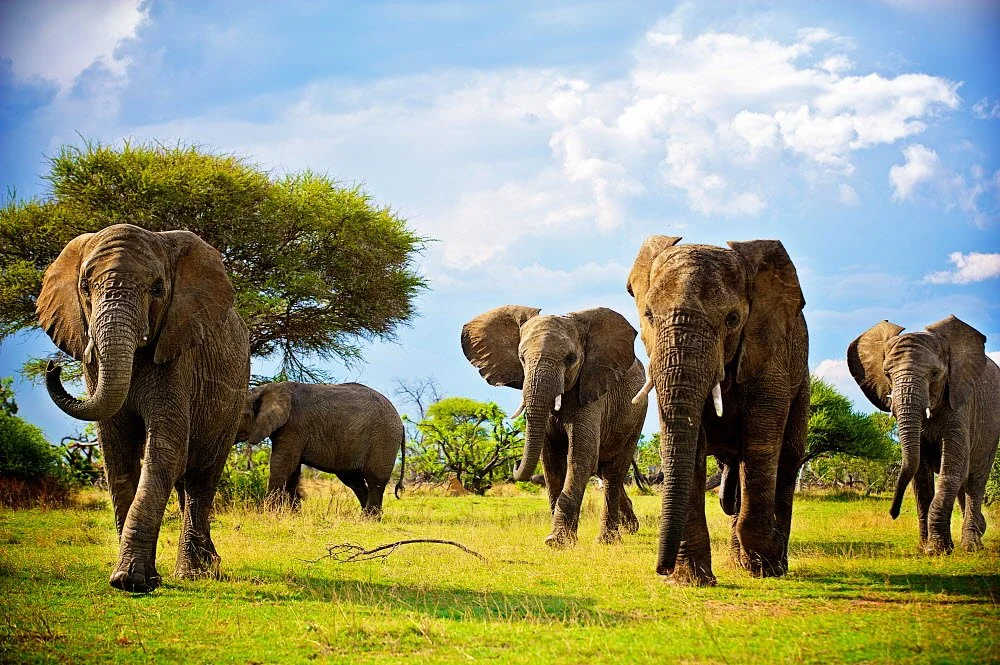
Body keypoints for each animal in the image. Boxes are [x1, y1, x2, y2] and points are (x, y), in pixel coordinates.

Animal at [38, 223, 250, 592]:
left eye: (158, 288)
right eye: (84, 287)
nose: (54, 366)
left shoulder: (179, 356)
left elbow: (165, 451)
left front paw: (131, 580)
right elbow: (117, 455)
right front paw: (134, 577)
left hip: (232, 402)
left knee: (201, 479)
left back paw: (193, 573)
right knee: (186, 484)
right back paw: (209, 567)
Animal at [237, 381, 406, 518]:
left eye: (242, 415)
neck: (265, 389)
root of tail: (401, 423)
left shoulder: (293, 427)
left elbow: (282, 465)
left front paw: (268, 514)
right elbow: (292, 471)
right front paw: (294, 514)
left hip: (383, 437)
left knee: (375, 480)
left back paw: (370, 519)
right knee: (354, 481)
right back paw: (365, 517)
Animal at [462, 305, 647, 547]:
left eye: (570, 359)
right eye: (521, 358)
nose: (515, 464)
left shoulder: (591, 393)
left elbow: (580, 456)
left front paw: (556, 541)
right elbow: (550, 461)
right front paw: (559, 539)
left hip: (637, 414)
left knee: (614, 473)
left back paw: (607, 540)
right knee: (603, 470)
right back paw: (630, 528)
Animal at [627, 237, 808, 585]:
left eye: (732, 319)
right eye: (649, 315)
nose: (661, 569)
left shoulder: (769, 355)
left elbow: (760, 445)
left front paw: (764, 562)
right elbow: (691, 447)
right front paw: (690, 581)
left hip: (801, 384)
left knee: (788, 460)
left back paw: (771, 564)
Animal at [848, 316, 1000, 553]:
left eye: (935, 374)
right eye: (887, 374)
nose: (893, 513)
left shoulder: (961, 405)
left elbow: (952, 471)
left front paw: (936, 550)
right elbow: (921, 478)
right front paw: (926, 549)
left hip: (992, 432)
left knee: (974, 481)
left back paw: (971, 546)